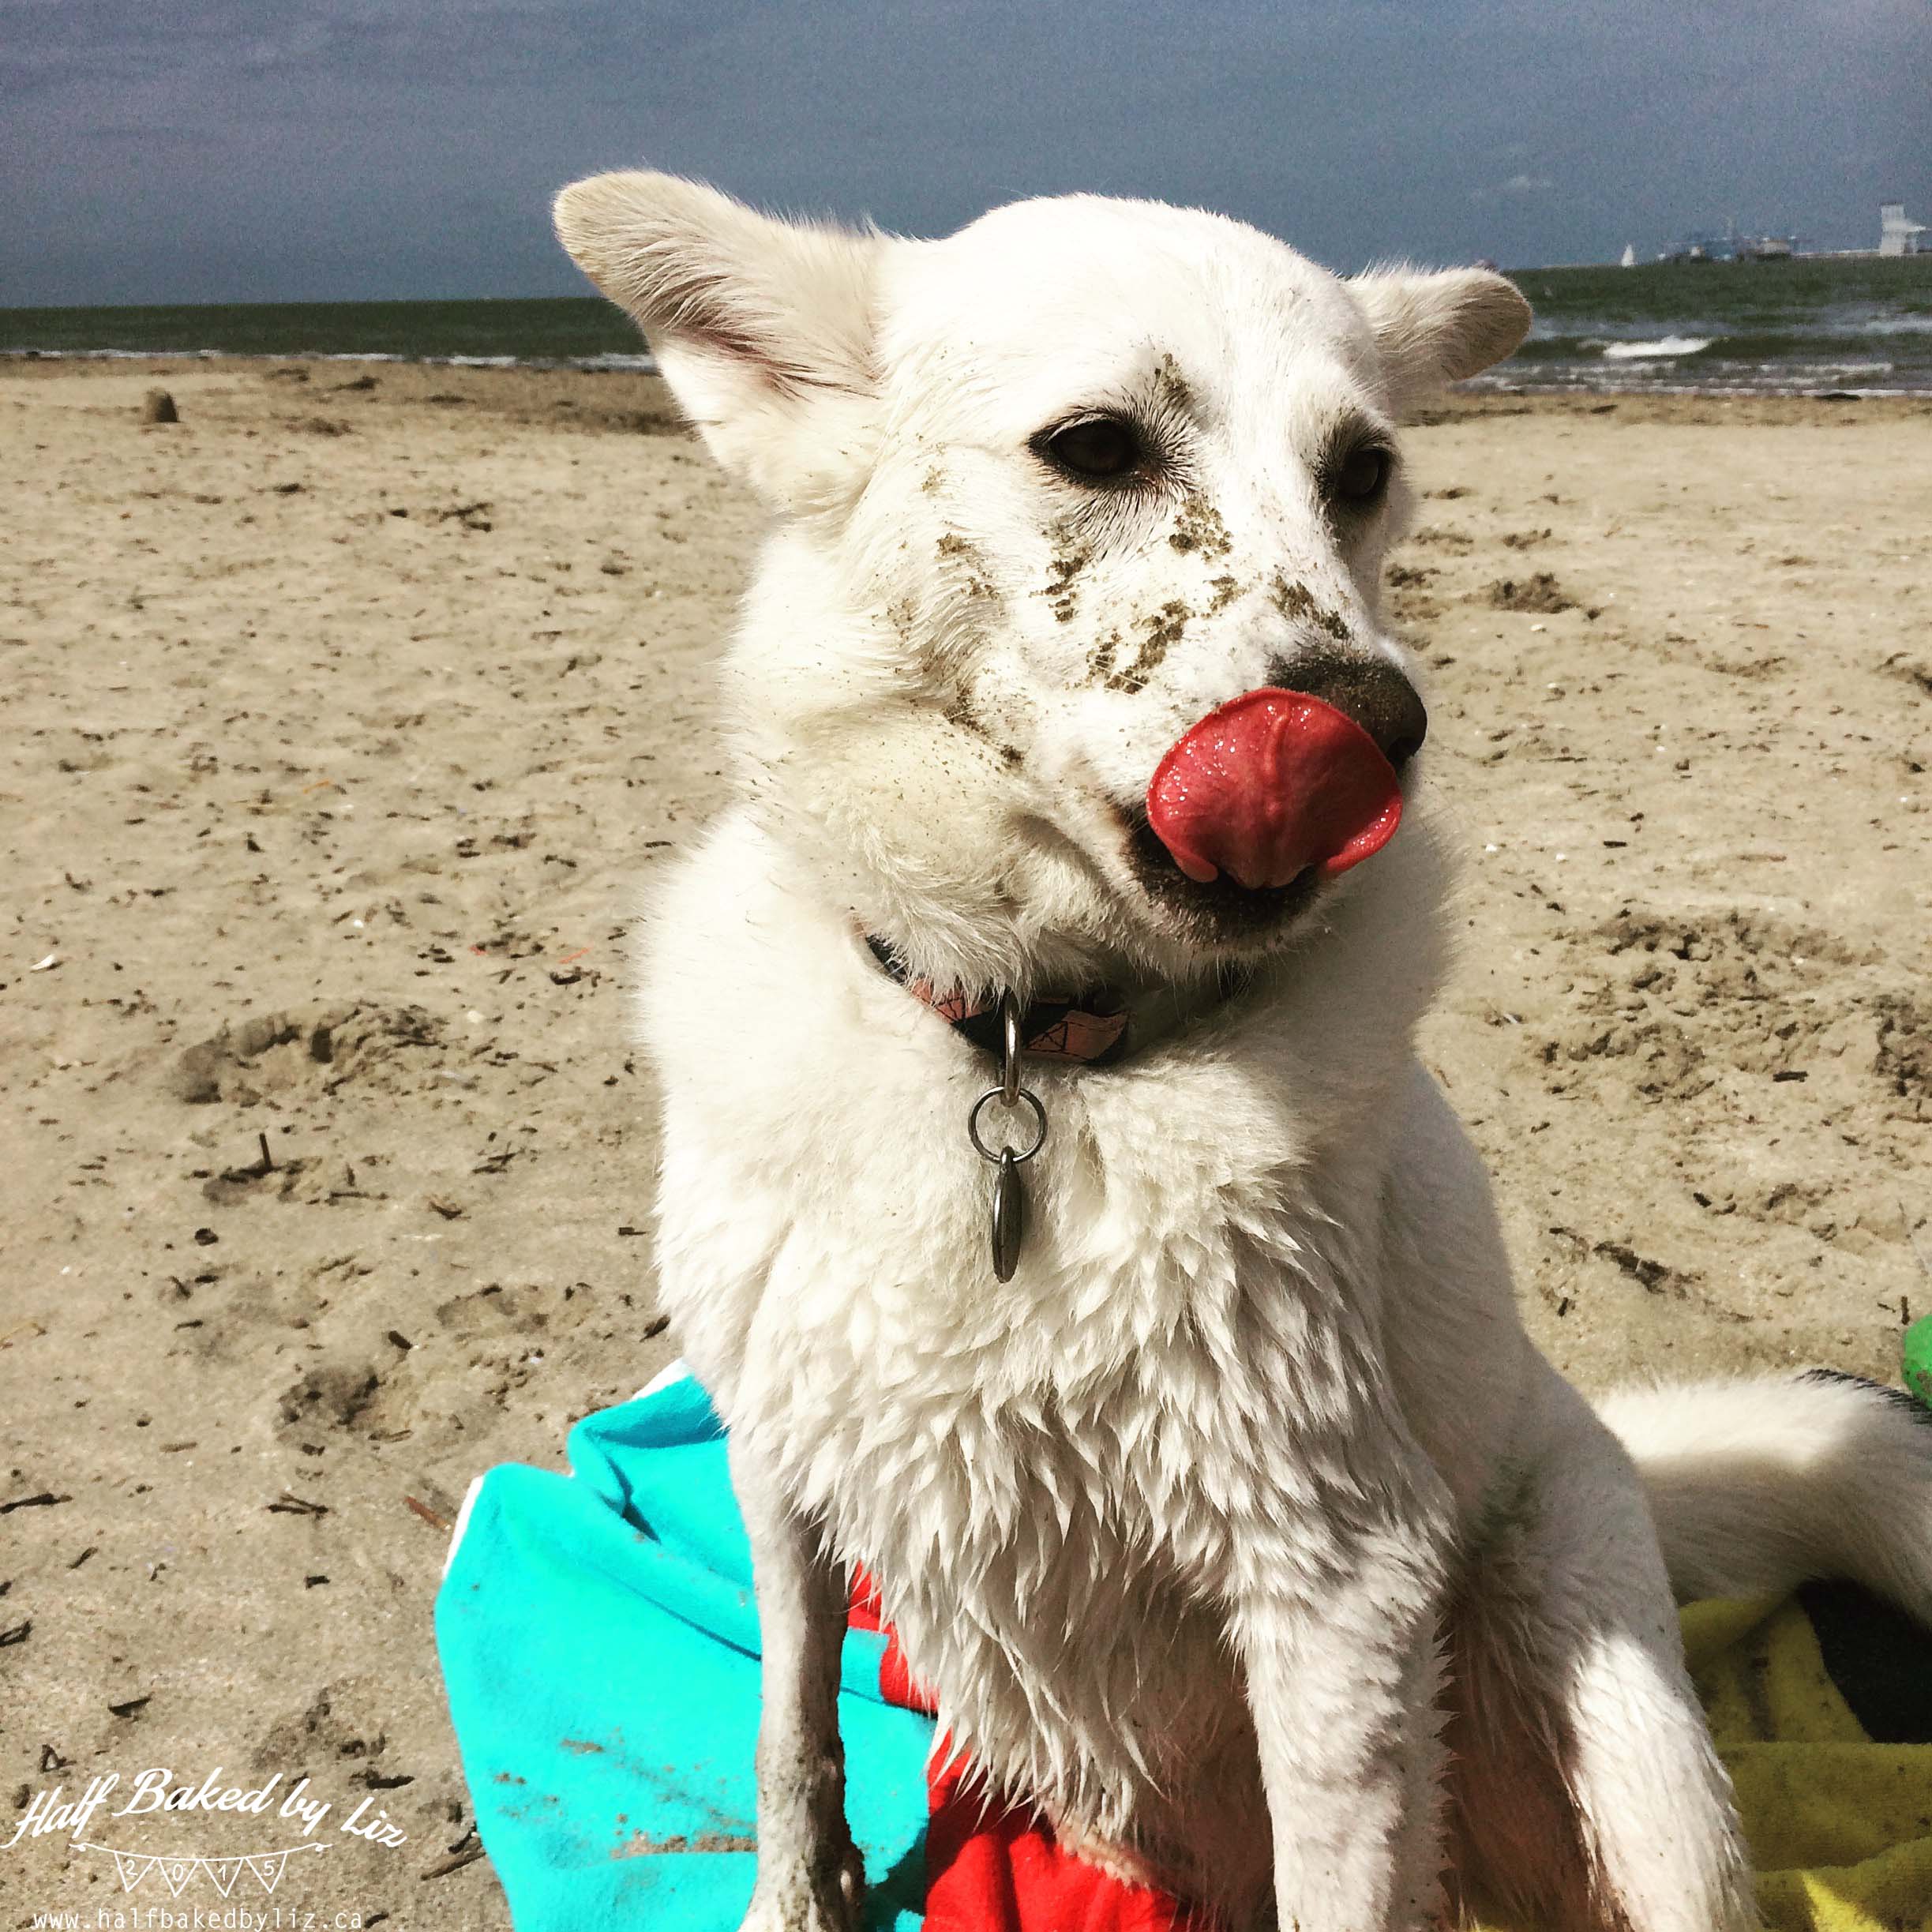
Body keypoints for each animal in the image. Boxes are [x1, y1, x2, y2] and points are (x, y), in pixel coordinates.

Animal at [552, 174, 1924, 1924]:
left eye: (1361, 473)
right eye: (1095, 446)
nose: (1373, 724)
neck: (1037, 1050)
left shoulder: (1330, 1591)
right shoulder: (781, 1462)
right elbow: (791, 1731)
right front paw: (799, 1897)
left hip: (1603, 1675)